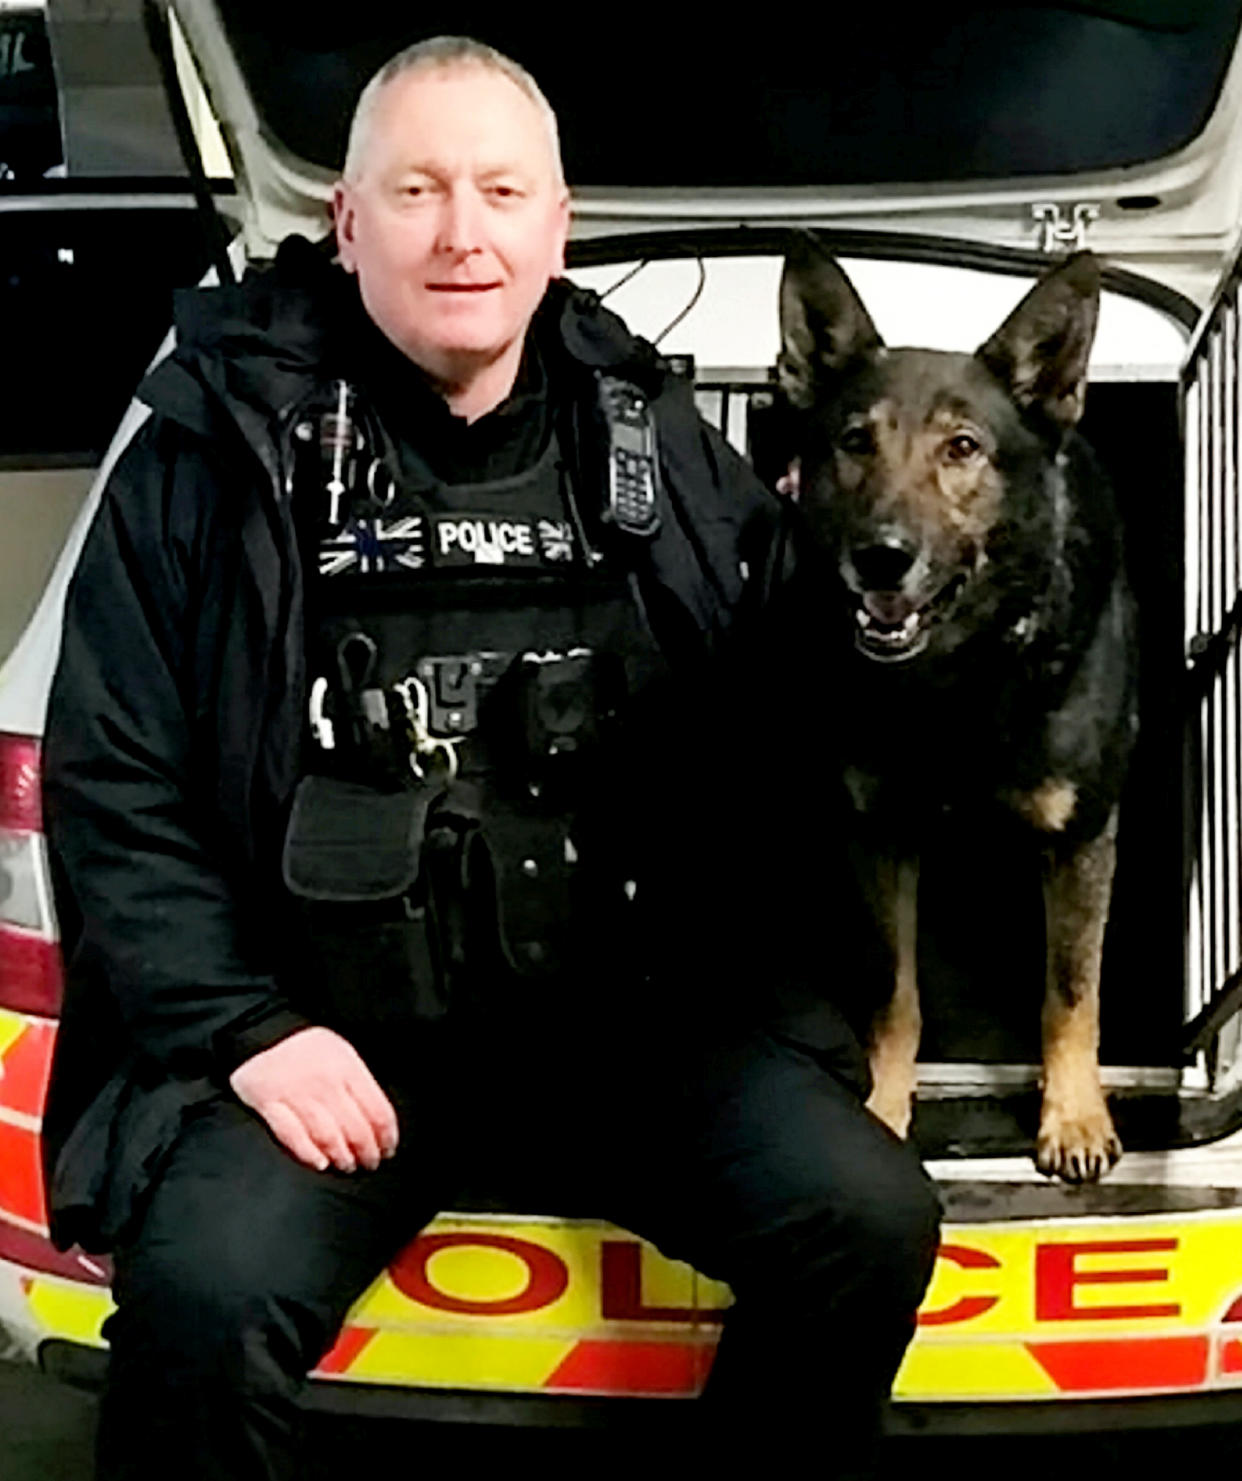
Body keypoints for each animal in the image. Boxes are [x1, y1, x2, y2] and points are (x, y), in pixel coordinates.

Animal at [781, 245, 1142, 1190]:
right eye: (855, 441)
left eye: (963, 448)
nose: (880, 556)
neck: (959, 681)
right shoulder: (877, 836)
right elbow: (894, 991)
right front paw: (884, 1103)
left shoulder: (1082, 834)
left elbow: (1070, 986)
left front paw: (1074, 1113)